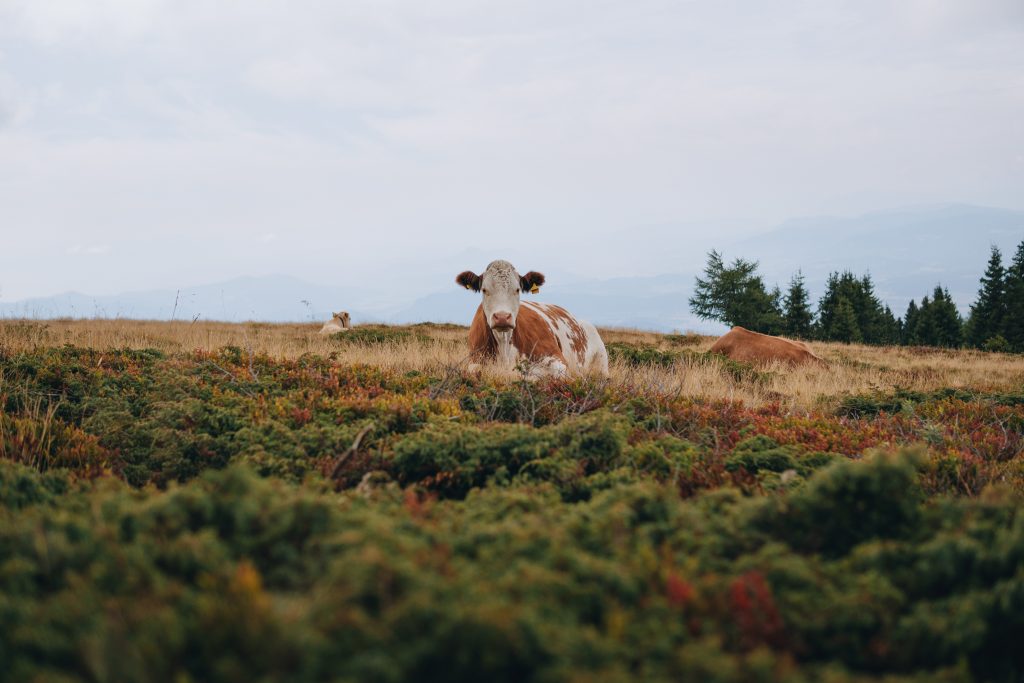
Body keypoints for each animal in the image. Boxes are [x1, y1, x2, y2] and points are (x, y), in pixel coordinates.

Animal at [456, 260, 606, 378]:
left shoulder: (557, 359)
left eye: (517, 289)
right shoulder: (475, 360)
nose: (502, 317)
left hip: (602, 360)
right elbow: (475, 370)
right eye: (484, 290)